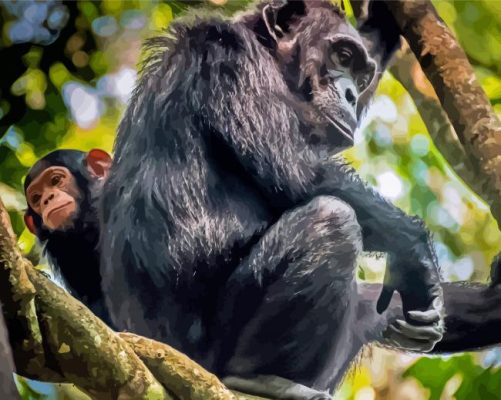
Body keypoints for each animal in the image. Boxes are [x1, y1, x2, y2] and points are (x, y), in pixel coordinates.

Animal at [100, 1, 442, 398]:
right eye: (342, 56)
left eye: (361, 76)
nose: (351, 95)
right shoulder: (229, 58)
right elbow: (296, 171)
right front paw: (417, 256)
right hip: (205, 349)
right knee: (331, 220)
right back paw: (259, 378)